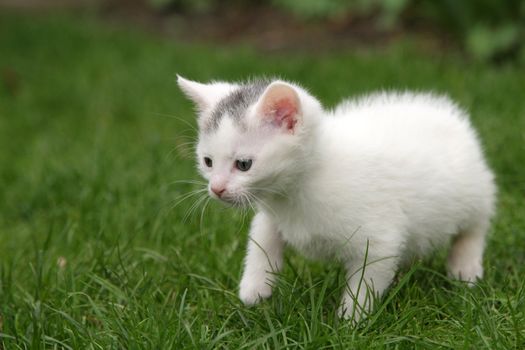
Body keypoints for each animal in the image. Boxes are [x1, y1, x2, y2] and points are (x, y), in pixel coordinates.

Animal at [177, 76, 496, 322]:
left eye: (243, 164)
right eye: (207, 161)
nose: (216, 189)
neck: (298, 189)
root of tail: (448, 114)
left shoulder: (378, 239)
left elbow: (368, 278)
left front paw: (350, 320)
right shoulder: (273, 211)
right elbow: (262, 236)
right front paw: (255, 286)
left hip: (474, 191)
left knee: (476, 225)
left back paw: (465, 268)